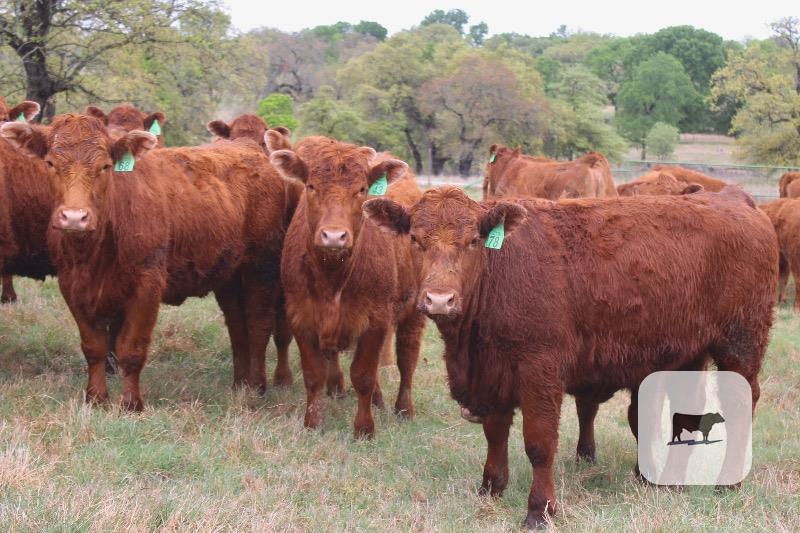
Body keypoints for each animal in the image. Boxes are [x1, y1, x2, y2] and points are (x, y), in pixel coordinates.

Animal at [269, 135, 425, 438]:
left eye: (361, 189)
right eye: (311, 186)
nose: (334, 236)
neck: (333, 277)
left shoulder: (376, 320)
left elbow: (363, 375)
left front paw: (364, 428)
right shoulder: (301, 317)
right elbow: (314, 374)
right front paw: (312, 422)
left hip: (414, 310)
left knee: (407, 359)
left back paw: (403, 409)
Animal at [363, 185, 775, 528]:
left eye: (474, 240)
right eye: (414, 239)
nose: (439, 299)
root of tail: (735, 199)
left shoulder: (540, 371)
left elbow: (539, 443)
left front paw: (539, 510)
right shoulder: (494, 373)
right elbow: (495, 432)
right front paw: (491, 487)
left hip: (740, 343)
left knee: (741, 405)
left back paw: (727, 483)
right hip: (685, 354)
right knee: (688, 408)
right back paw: (670, 482)